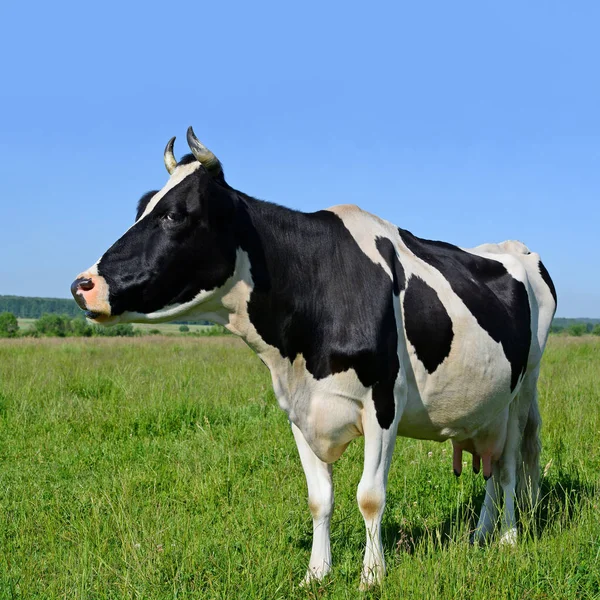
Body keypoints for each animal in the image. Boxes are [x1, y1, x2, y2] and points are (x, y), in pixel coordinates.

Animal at [71, 129, 556, 588]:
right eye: (140, 208)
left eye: (174, 214)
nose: (82, 285)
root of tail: (511, 247)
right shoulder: (298, 407)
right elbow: (319, 498)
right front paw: (316, 573)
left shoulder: (384, 402)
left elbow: (370, 496)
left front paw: (371, 575)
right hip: (487, 406)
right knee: (491, 465)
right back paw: (480, 535)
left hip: (522, 389)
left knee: (510, 465)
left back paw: (508, 537)